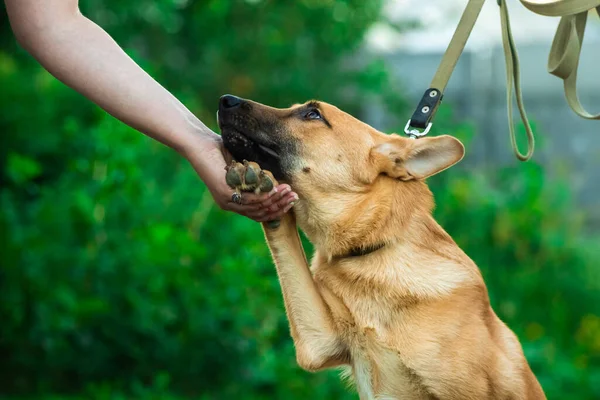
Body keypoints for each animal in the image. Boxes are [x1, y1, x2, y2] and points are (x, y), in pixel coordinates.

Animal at [218, 94, 548, 400]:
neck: (377, 248)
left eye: (313, 114)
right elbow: (284, 239)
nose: (225, 100)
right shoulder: (319, 341)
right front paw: (256, 185)